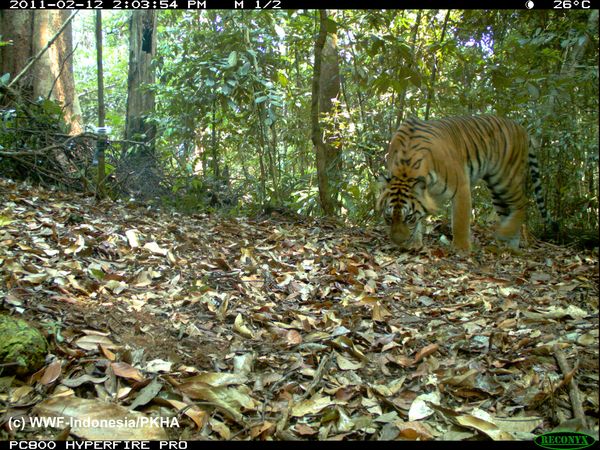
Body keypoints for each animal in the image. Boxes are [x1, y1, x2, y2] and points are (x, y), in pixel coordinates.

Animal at [378, 114, 556, 251]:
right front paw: (415, 243)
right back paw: (509, 246)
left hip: (506, 178)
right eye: (389, 218)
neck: (405, 169)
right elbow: (422, 217)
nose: (398, 242)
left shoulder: (461, 187)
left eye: (408, 218)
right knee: (508, 211)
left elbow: (460, 221)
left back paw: (504, 234)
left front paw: (461, 248)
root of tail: (522, 128)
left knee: (523, 203)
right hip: (496, 189)